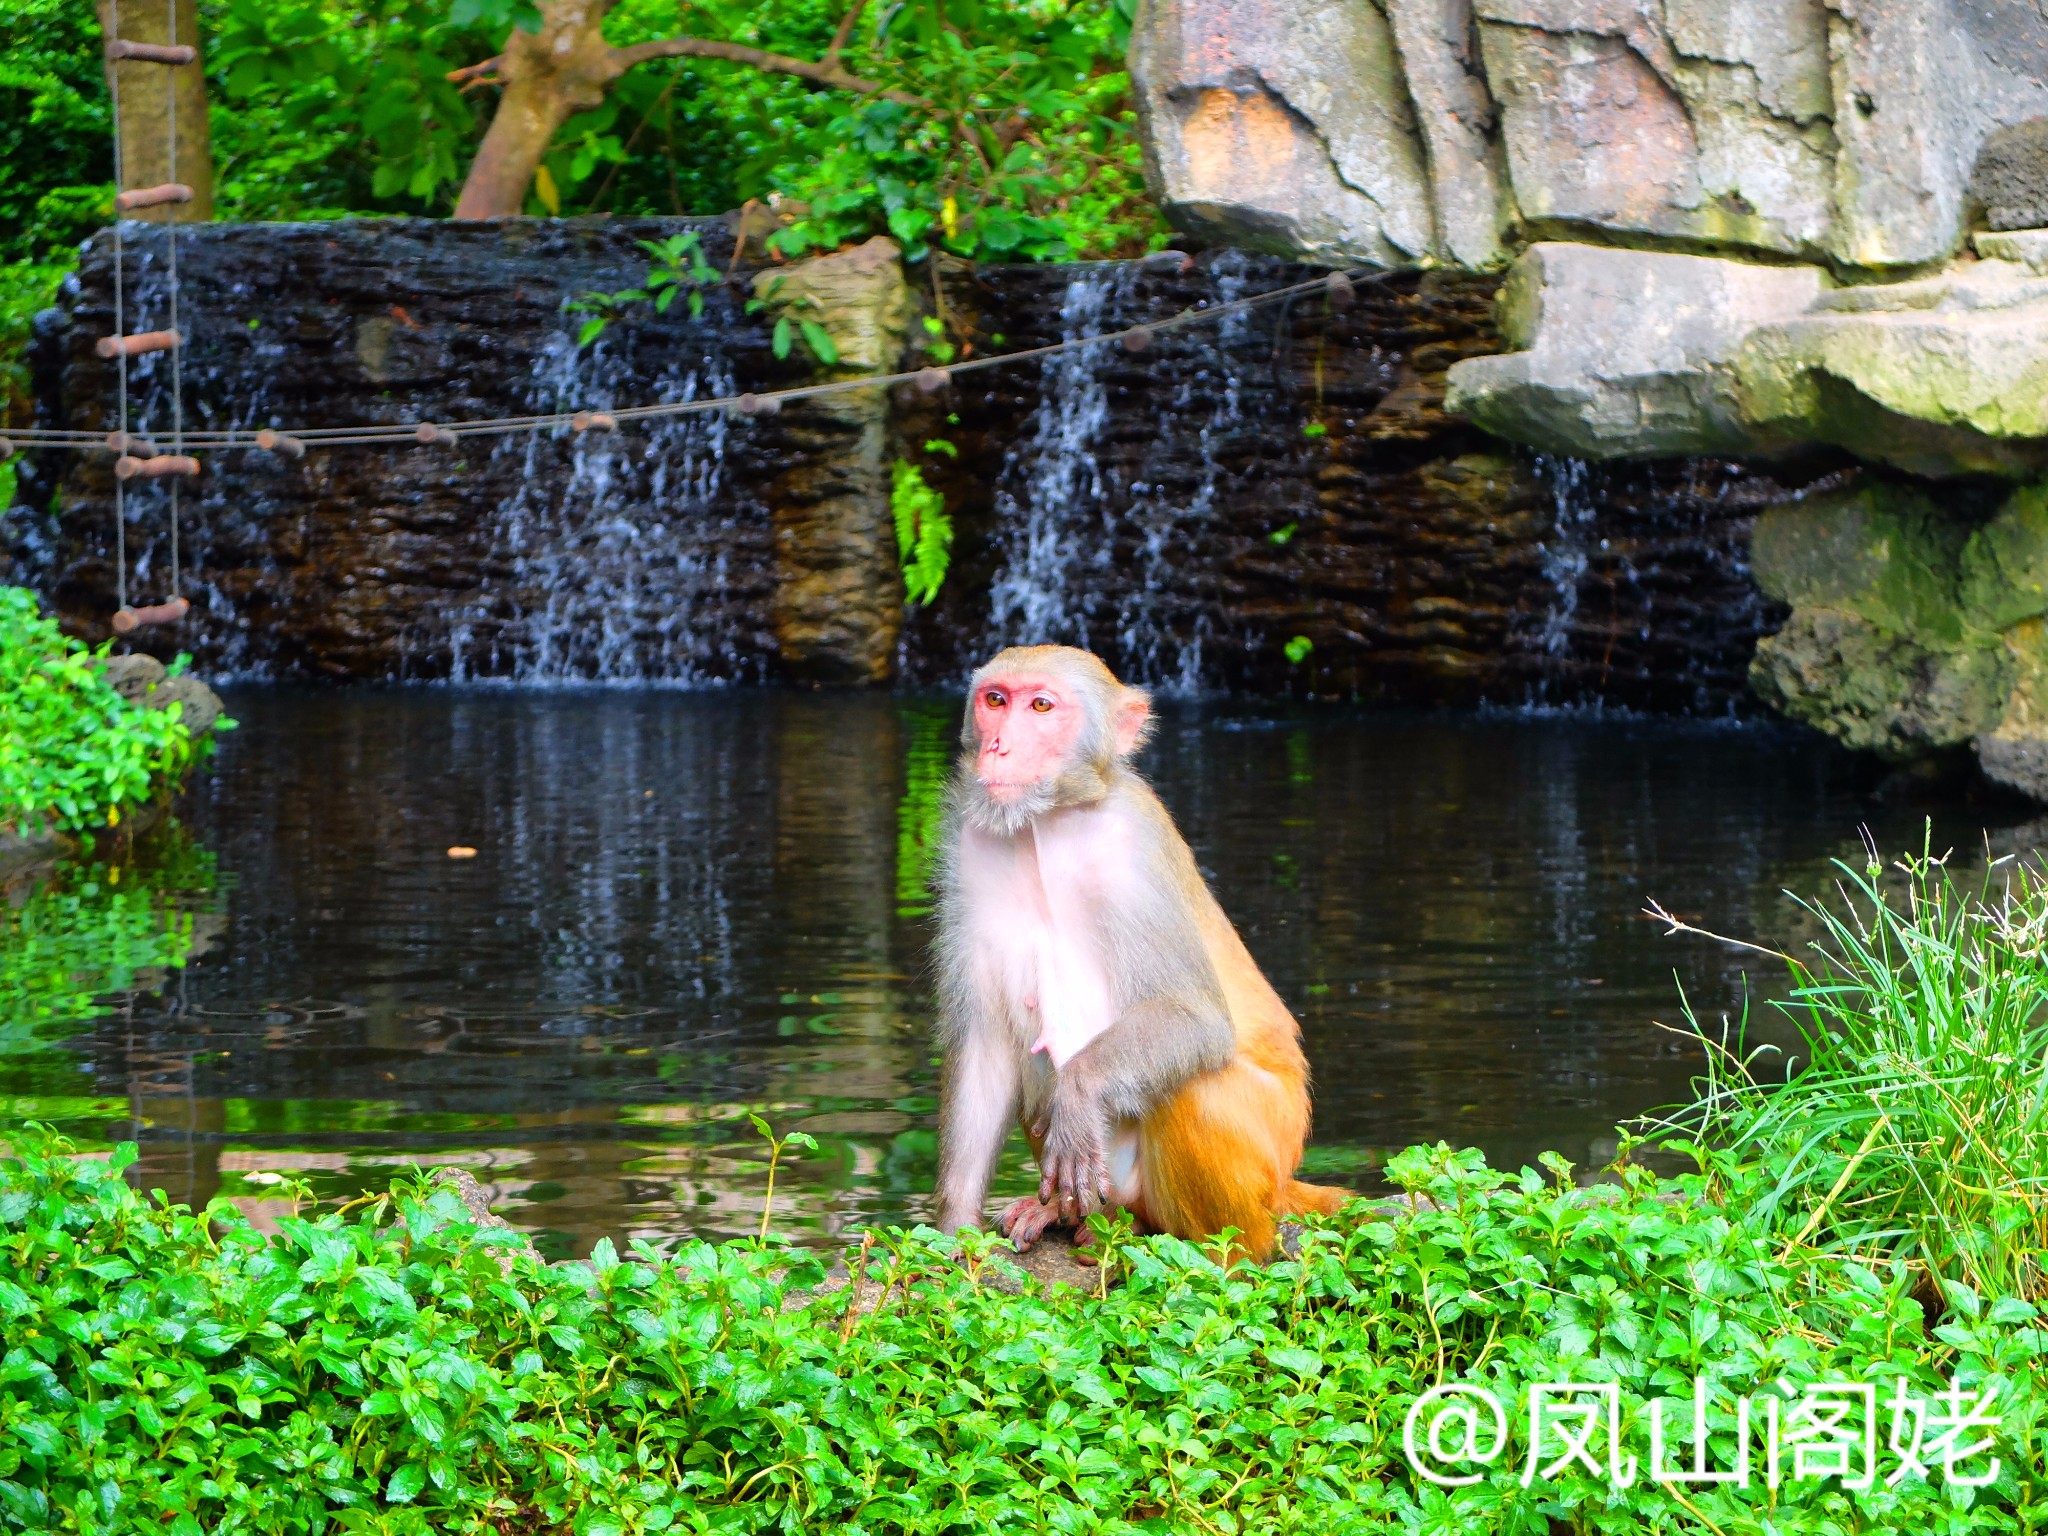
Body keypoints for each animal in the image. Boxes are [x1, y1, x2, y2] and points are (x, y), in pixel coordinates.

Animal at [929, 643, 1343, 1253]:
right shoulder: (969, 850)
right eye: (996, 700)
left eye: (1042, 706)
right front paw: (954, 1234)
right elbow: (986, 1045)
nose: (1000, 745)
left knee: (1191, 1090)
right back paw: (1074, 1217)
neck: (1047, 822)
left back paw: (1222, 1256)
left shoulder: (1136, 845)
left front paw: (1077, 1094)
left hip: (1266, 1155)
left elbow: (1194, 1019)